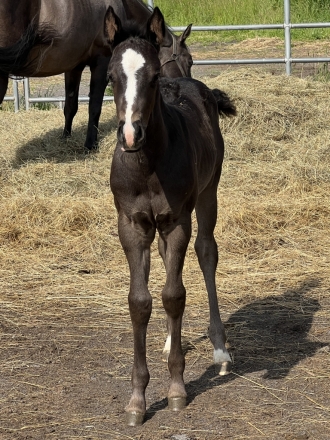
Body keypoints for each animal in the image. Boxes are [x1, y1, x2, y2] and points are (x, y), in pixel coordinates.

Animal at [0, 0, 191, 150]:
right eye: (189, 60)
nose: (187, 85)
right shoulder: (102, 62)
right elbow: (94, 106)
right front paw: (90, 144)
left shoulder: (74, 67)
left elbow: (70, 106)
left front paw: (66, 137)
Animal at [105, 6, 237, 426]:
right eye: (110, 76)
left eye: (152, 77)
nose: (131, 135)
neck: (148, 165)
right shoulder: (132, 225)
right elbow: (140, 301)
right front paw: (137, 400)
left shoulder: (178, 219)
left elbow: (174, 294)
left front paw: (177, 389)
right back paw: (167, 340)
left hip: (209, 194)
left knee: (207, 252)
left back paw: (220, 349)